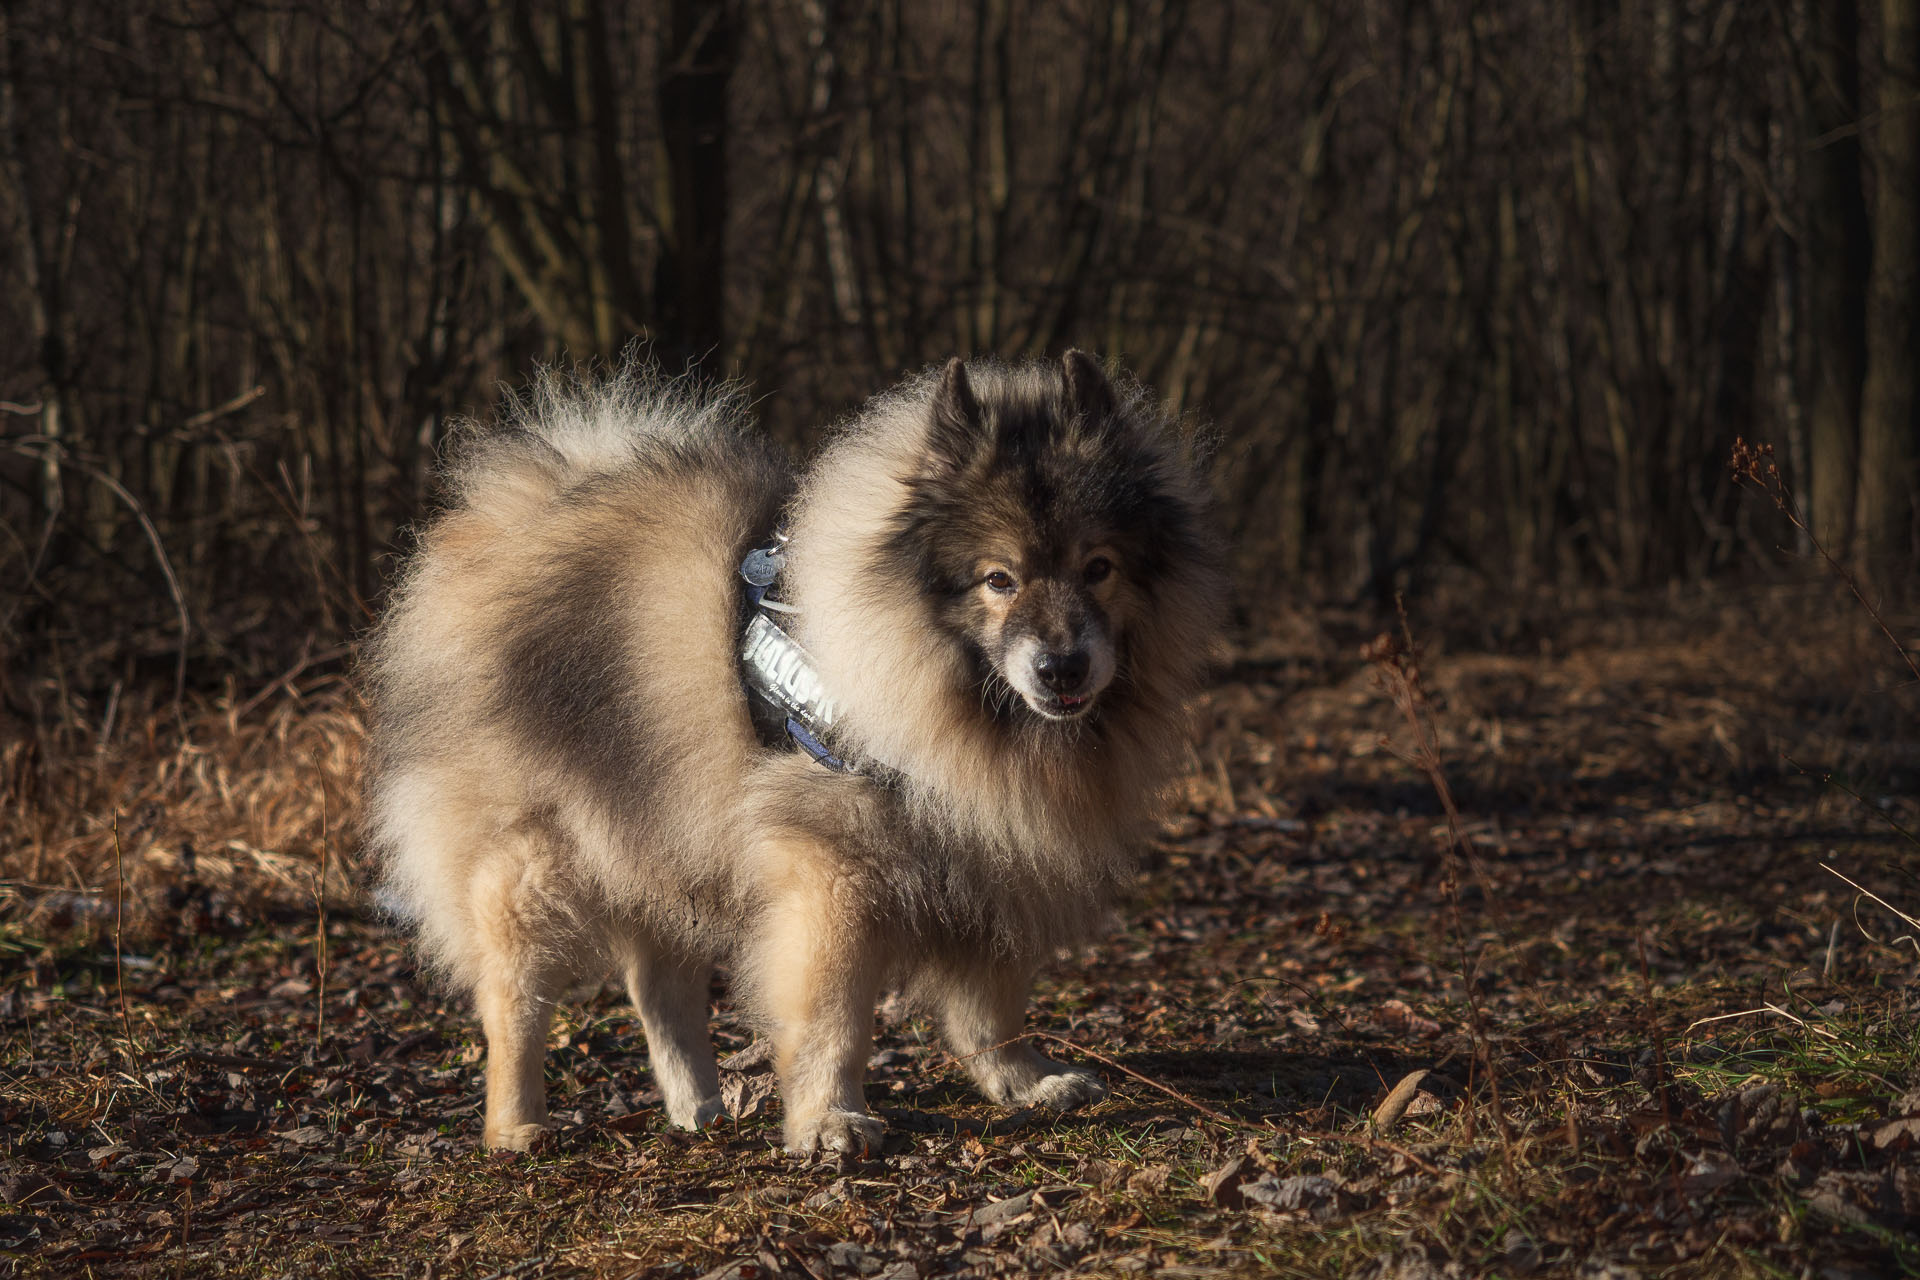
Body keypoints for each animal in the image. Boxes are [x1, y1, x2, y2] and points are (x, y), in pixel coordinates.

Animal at [366, 355, 1221, 1159]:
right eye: (998, 580)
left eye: (1098, 568)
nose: (1062, 667)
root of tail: (506, 521)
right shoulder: (832, 871)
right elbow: (833, 1014)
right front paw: (829, 1119)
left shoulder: (989, 854)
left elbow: (993, 1005)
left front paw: (1024, 1080)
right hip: (534, 862)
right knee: (515, 1001)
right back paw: (517, 1127)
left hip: (665, 826)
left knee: (658, 985)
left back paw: (699, 1108)